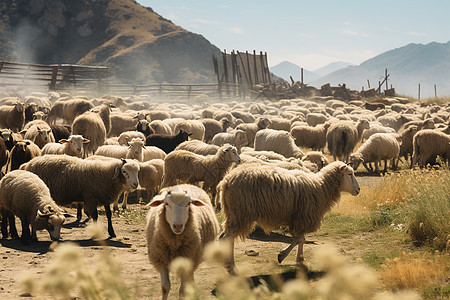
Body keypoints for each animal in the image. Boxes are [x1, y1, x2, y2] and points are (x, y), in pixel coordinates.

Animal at [216, 162, 360, 274]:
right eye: (349, 174)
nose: (358, 190)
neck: (322, 187)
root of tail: (226, 181)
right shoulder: (304, 216)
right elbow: (299, 239)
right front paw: (282, 256)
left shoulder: (302, 217)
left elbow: (301, 239)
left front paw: (300, 260)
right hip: (241, 212)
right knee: (227, 238)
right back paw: (231, 268)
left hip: (234, 213)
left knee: (228, 238)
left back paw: (229, 266)